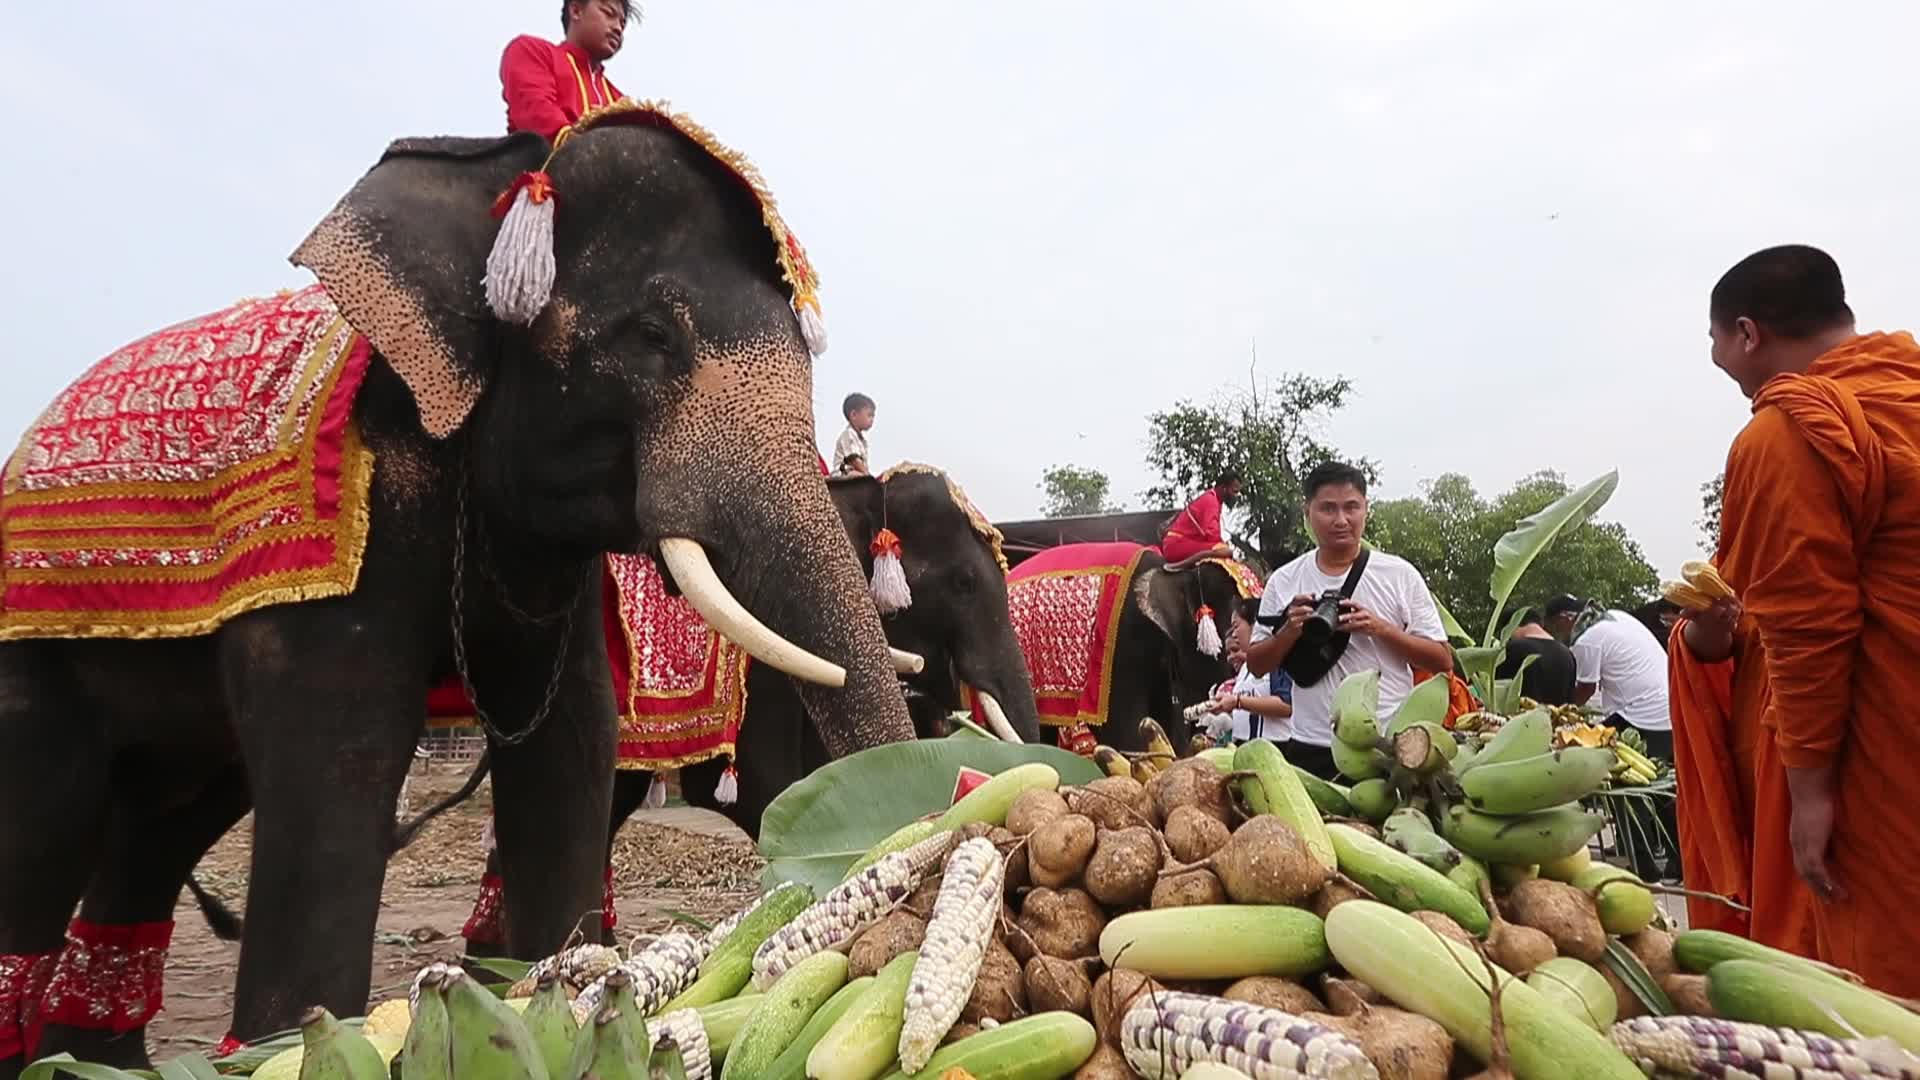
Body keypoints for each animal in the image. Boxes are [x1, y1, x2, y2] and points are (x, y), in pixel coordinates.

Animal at [0, 114, 914, 1074]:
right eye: (652, 336)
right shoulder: (348, 528)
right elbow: (345, 749)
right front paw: (306, 1035)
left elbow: (570, 739)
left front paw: (552, 983)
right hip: (34, 640)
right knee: (48, 812)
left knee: (163, 821)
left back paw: (94, 1059)